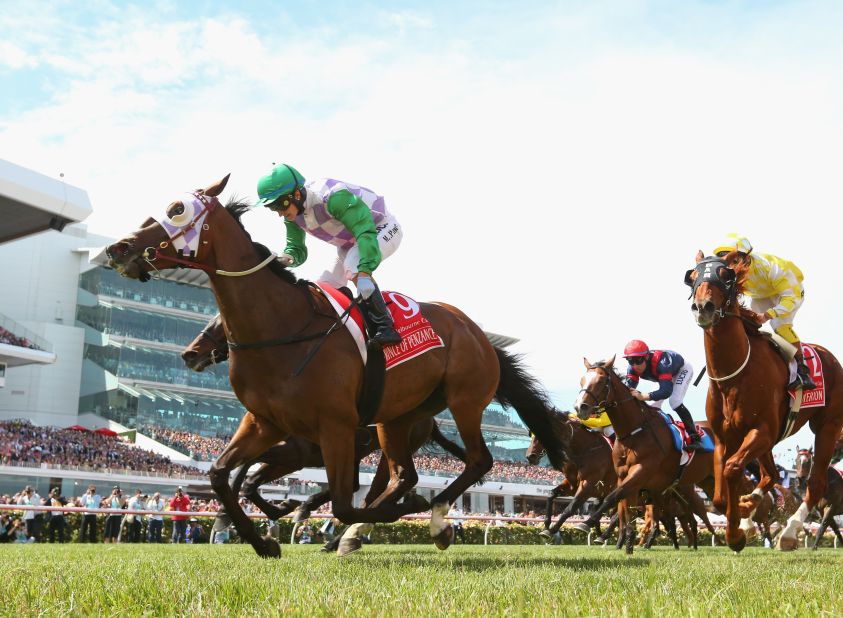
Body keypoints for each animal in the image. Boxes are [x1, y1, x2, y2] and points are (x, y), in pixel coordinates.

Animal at [105, 176, 568, 556]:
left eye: (176, 210)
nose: (119, 247)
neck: (283, 326)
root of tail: (478, 333)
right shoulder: (265, 423)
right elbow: (224, 475)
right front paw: (265, 539)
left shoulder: (333, 428)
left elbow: (344, 500)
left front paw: (297, 514)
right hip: (395, 420)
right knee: (403, 475)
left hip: (464, 400)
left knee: (477, 461)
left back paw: (433, 518)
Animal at [572, 356, 716, 552]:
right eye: (581, 380)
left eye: (601, 382)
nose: (580, 407)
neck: (633, 432)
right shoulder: (623, 475)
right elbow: (624, 507)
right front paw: (627, 543)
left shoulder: (641, 470)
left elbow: (613, 497)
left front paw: (587, 523)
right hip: (706, 482)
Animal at [684, 250, 843, 548]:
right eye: (693, 276)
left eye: (726, 275)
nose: (703, 307)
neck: (733, 376)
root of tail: (830, 356)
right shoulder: (724, 438)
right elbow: (720, 495)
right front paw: (741, 516)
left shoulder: (762, 431)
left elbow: (733, 469)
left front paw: (736, 531)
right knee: (770, 475)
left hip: (826, 427)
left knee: (815, 484)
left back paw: (789, 533)